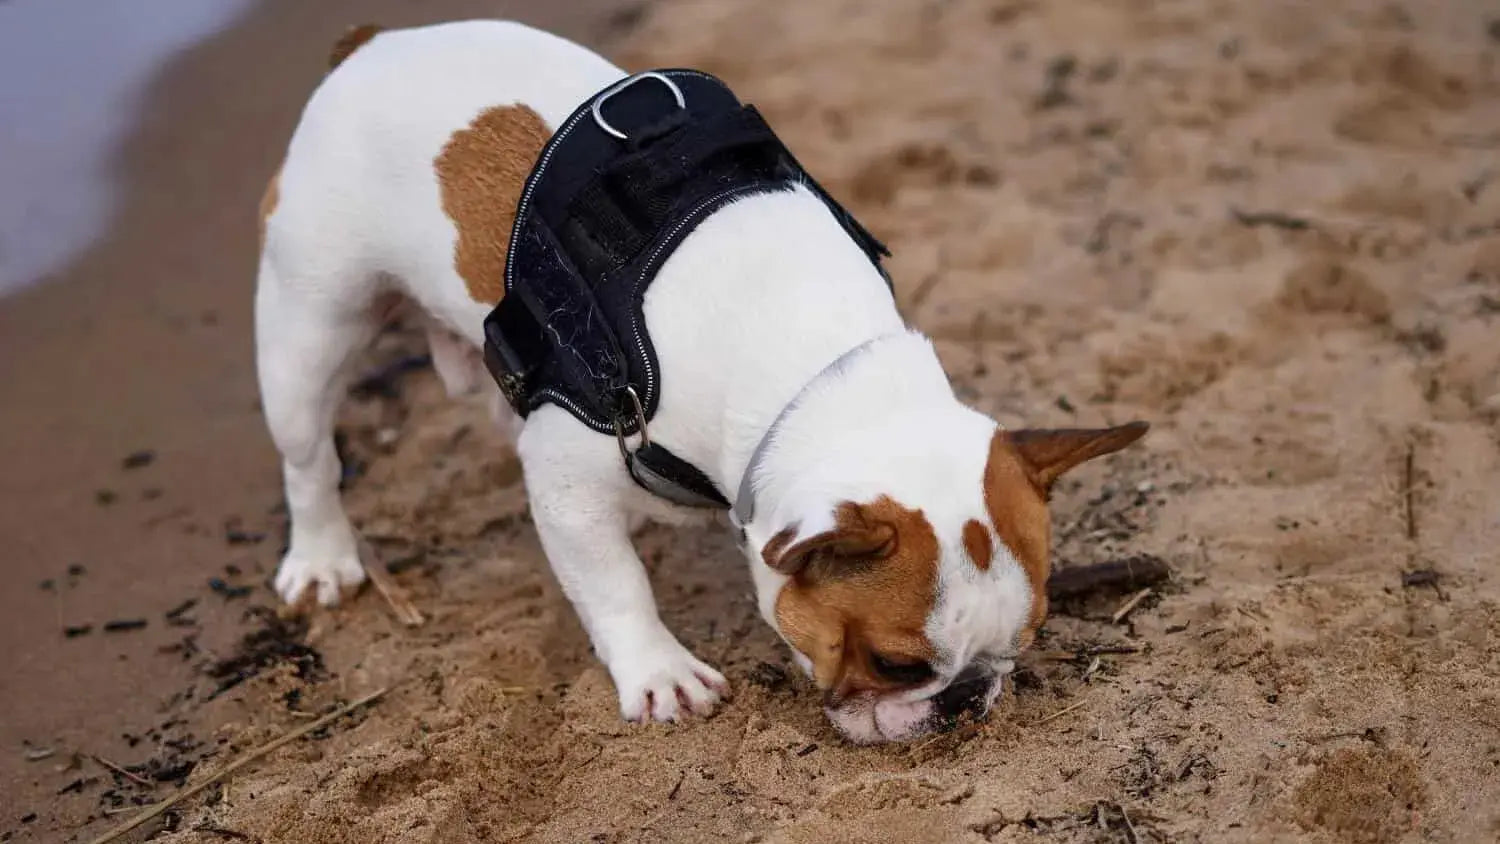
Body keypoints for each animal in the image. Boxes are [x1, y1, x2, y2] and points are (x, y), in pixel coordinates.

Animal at [258, 19, 1146, 743]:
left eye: (1019, 646)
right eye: (897, 665)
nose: (965, 699)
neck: (813, 372)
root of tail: (370, 45)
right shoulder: (569, 482)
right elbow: (614, 584)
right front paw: (659, 674)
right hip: (309, 323)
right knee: (308, 457)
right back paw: (322, 558)